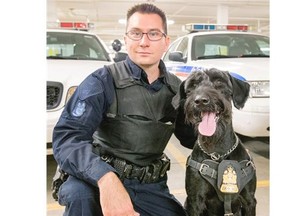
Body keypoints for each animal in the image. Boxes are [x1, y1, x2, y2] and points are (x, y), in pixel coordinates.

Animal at [173, 69, 256, 216]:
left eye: (219, 82)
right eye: (193, 85)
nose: (201, 100)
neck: (217, 151)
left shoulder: (249, 201)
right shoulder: (195, 201)